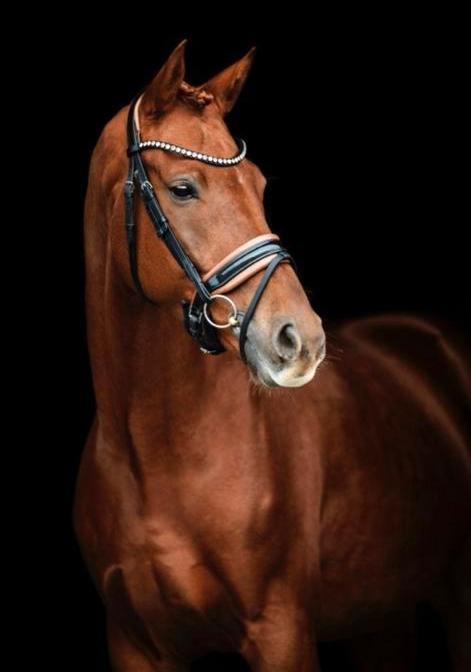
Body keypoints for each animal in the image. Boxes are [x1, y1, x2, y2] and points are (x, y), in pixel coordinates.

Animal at [75, 41, 471, 671]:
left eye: (259, 186)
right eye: (182, 188)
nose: (300, 339)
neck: (157, 456)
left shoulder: (281, 630)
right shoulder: (134, 642)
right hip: (381, 619)